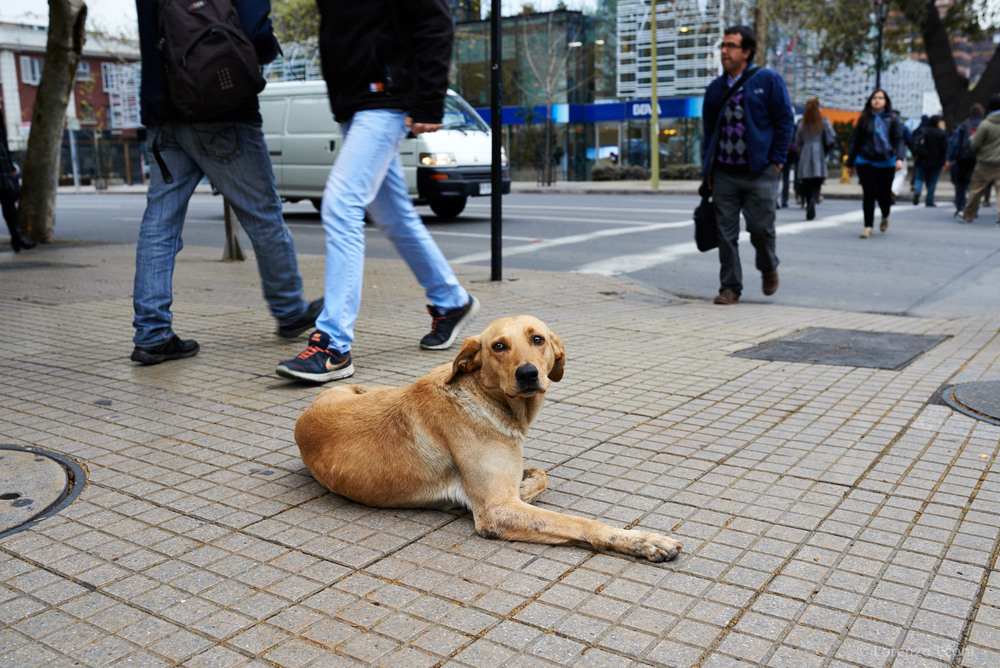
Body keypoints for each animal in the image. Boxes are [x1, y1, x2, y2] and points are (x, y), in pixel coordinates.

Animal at [292, 316, 684, 560]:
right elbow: (581, 522)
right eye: (498, 346)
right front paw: (643, 541)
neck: (486, 397)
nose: (527, 374)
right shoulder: (498, 511)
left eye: (538, 339)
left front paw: (526, 481)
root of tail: (304, 416)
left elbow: (540, 475)